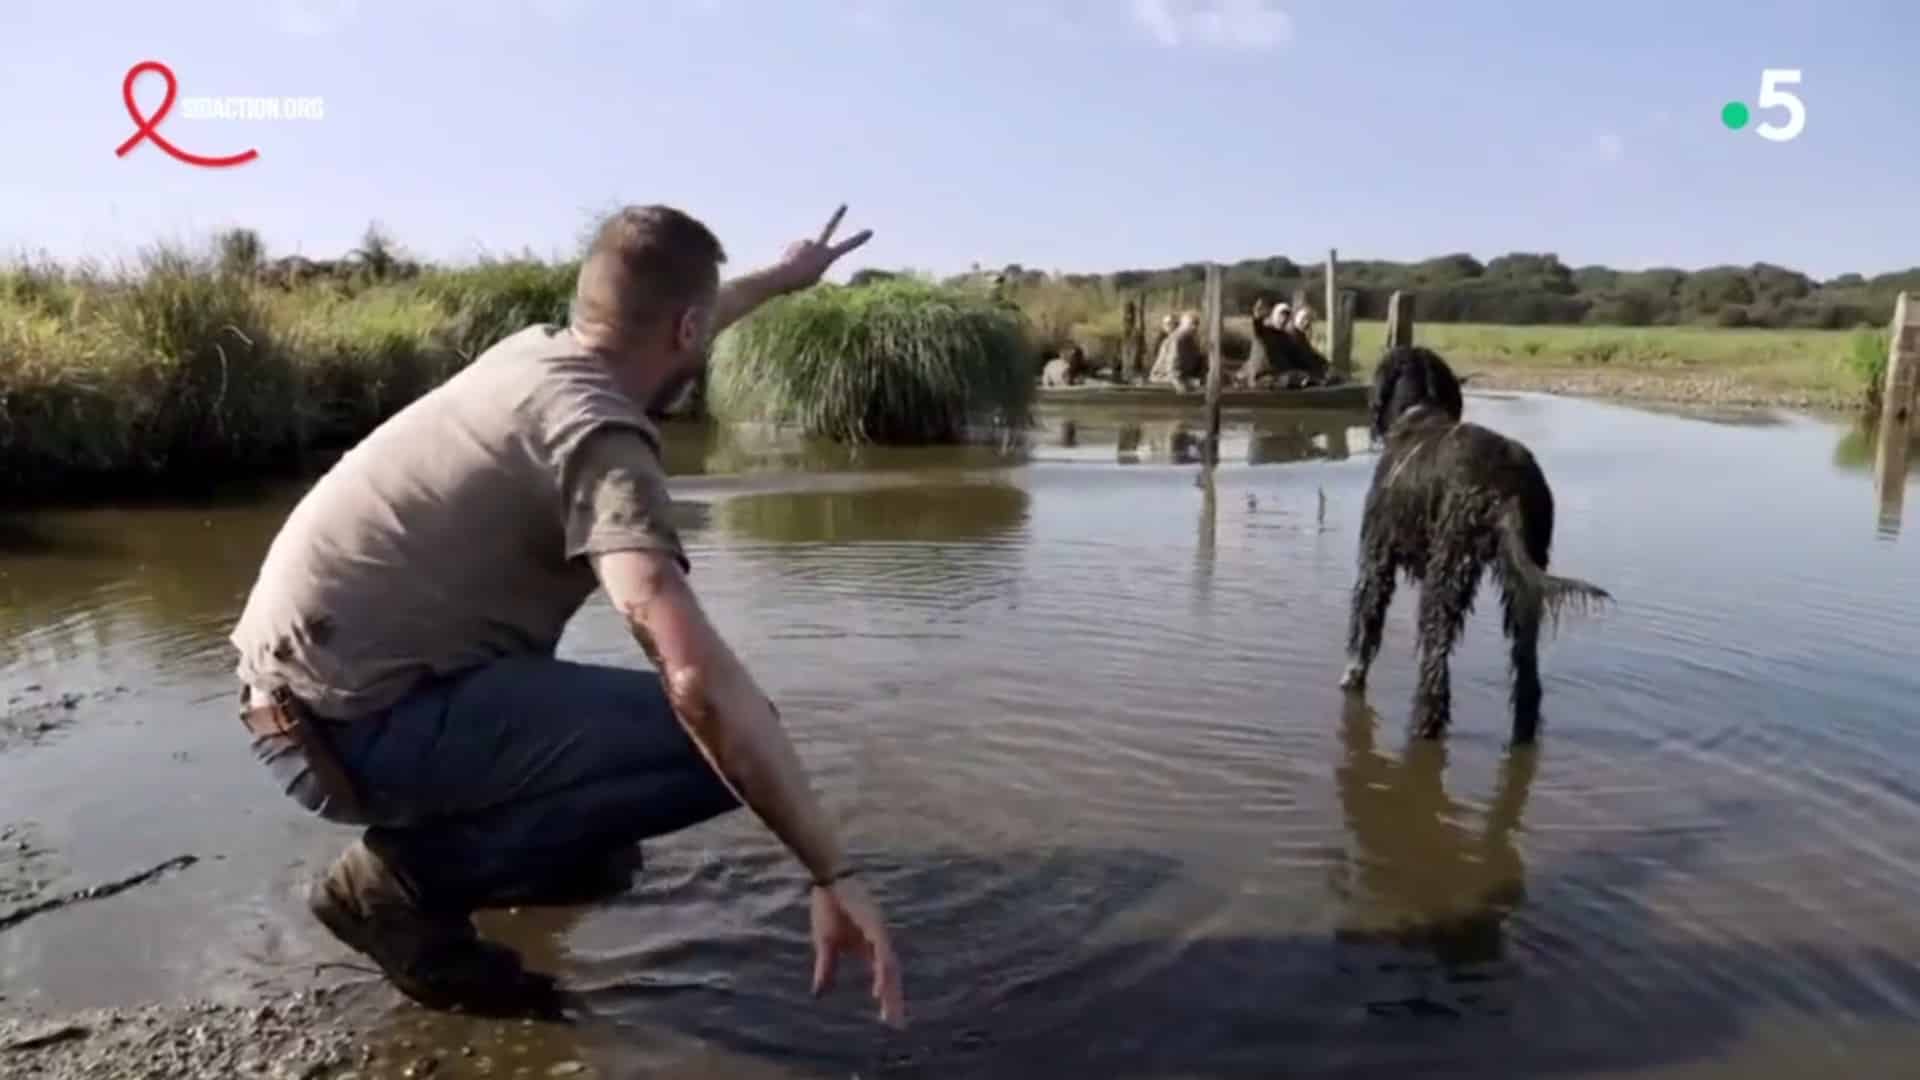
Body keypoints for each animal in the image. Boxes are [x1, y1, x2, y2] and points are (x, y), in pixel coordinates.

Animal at [1344, 343, 1612, 737]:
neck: (1417, 413)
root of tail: (1508, 484)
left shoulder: (1376, 556)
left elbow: (1364, 623)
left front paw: (1352, 677)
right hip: (1524, 580)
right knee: (1527, 670)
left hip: (1448, 569)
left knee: (1436, 660)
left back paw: (1423, 723)